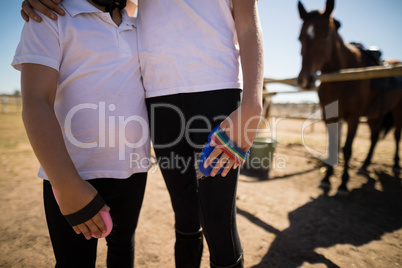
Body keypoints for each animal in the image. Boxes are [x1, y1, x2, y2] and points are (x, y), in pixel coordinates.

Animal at [296, 0, 400, 194]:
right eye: (300, 38)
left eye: (326, 34)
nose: (305, 79)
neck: (341, 77)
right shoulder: (330, 117)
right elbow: (333, 147)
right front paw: (326, 180)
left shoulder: (353, 117)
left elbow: (347, 149)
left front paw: (343, 184)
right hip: (375, 115)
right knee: (374, 137)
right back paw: (365, 165)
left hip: (397, 112)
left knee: (396, 135)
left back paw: (396, 164)